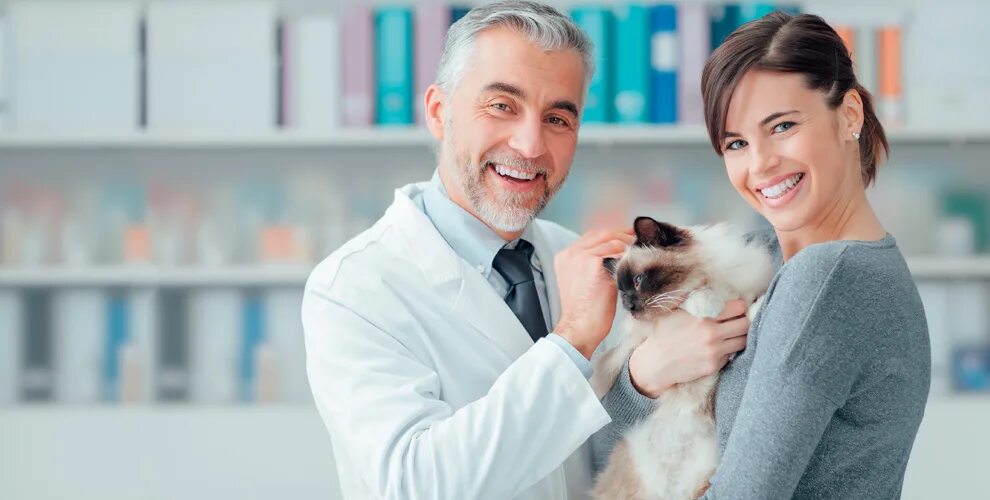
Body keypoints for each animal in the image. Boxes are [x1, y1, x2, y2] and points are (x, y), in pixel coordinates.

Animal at [590, 216, 774, 500]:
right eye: (622, 293)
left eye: (639, 280)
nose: (630, 308)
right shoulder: (643, 333)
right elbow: (682, 303)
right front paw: (705, 306)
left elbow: (748, 310)